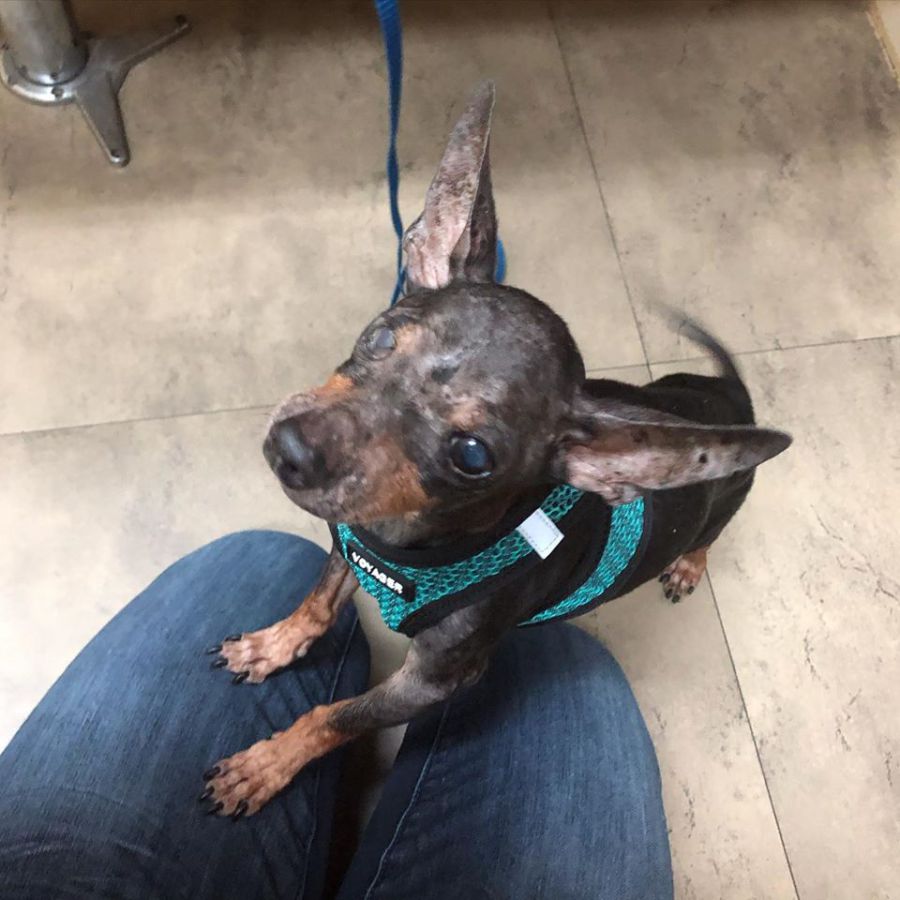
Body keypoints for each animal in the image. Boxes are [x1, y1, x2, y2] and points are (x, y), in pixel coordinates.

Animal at [200, 82, 791, 819]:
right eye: (381, 337)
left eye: (473, 455)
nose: (292, 449)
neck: (406, 544)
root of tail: (731, 395)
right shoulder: (349, 542)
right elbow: (315, 602)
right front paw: (271, 647)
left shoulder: (433, 681)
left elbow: (336, 716)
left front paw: (267, 765)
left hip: (726, 502)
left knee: (710, 535)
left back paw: (687, 565)